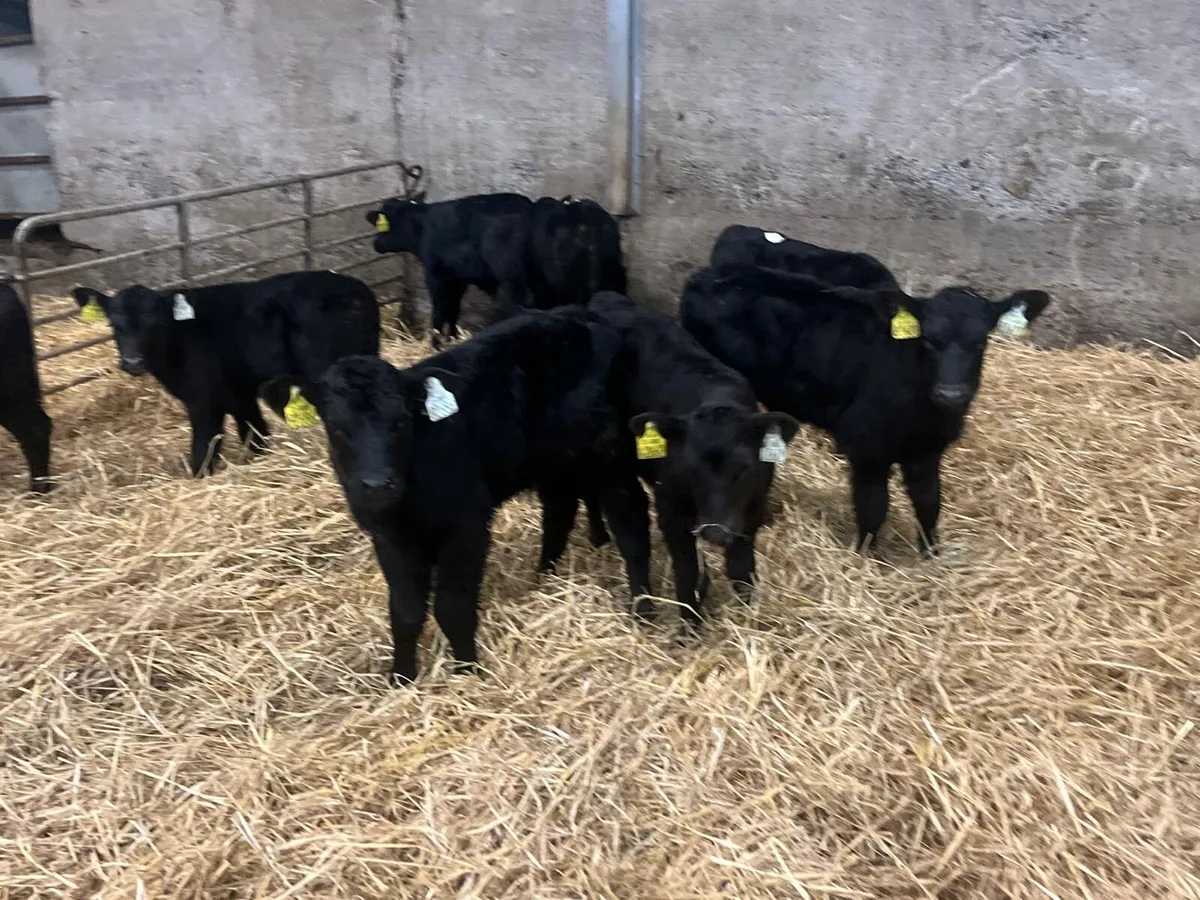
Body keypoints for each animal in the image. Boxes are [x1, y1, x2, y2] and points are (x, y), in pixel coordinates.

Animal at [73, 270, 380, 477]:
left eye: (156, 325)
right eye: (115, 325)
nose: (133, 361)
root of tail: (354, 289)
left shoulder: (203, 398)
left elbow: (204, 445)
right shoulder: (238, 391)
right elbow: (255, 432)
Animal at [319, 307, 651, 684]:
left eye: (401, 421)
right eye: (336, 427)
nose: (377, 484)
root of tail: (587, 314)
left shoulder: (466, 525)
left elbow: (452, 607)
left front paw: (467, 670)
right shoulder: (389, 537)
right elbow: (405, 612)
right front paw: (401, 676)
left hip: (608, 453)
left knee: (631, 519)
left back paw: (643, 608)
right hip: (556, 461)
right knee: (560, 511)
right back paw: (544, 579)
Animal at [589, 292, 798, 628]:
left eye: (744, 469)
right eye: (690, 471)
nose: (715, 532)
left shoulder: (752, 509)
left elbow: (741, 567)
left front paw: (748, 615)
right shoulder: (671, 510)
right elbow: (687, 568)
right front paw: (689, 624)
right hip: (613, 461)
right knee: (629, 530)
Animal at [681, 264, 1051, 555]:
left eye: (981, 341)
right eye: (928, 340)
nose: (951, 393)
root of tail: (705, 275)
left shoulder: (927, 451)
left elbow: (930, 502)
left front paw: (931, 554)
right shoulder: (866, 449)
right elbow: (873, 507)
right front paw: (865, 557)